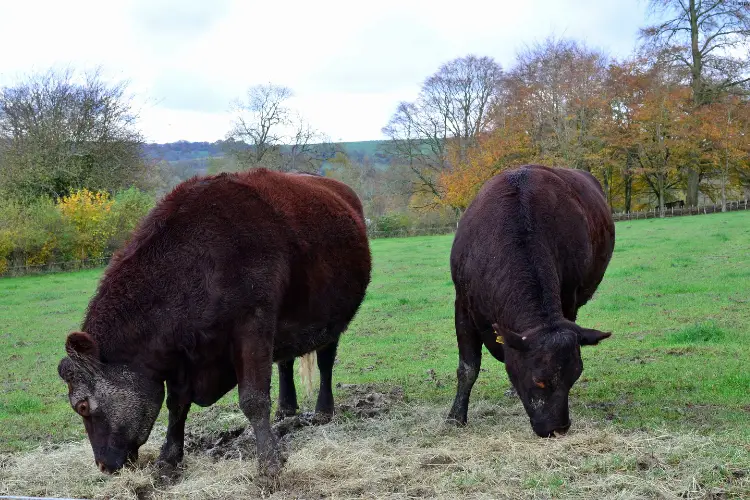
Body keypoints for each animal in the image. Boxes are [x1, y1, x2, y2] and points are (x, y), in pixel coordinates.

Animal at [56, 169, 374, 480]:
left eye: (82, 406)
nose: (102, 466)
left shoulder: (253, 326)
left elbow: (253, 399)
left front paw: (269, 463)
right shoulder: (182, 354)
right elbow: (177, 405)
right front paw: (168, 459)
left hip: (331, 318)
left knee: (325, 361)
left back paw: (323, 410)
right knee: (285, 361)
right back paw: (286, 408)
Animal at [446, 165, 616, 438]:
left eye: (575, 377)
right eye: (539, 380)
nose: (558, 429)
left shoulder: (569, 300)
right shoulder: (462, 304)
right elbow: (468, 368)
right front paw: (455, 417)